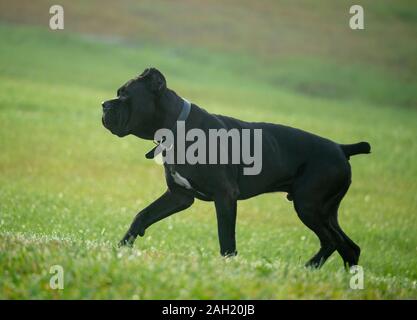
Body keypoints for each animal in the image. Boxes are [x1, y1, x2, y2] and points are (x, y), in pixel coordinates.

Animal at [101, 68, 370, 270]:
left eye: (125, 95)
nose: (104, 105)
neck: (178, 127)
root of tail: (341, 148)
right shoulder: (179, 196)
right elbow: (142, 216)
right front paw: (120, 250)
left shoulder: (225, 196)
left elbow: (226, 240)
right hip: (325, 211)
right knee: (349, 246)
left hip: (308, 206)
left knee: (333, 242)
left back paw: (310, 270)